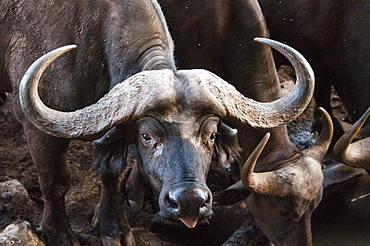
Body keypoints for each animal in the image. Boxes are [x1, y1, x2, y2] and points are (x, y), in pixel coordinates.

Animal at [1, 0, 314, 245]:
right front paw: (59, 234)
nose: (189, 201)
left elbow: (112, 174)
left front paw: (114, 228)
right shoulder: (38, 129)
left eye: (211, 135)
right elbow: (55, 181)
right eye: (147, 136)